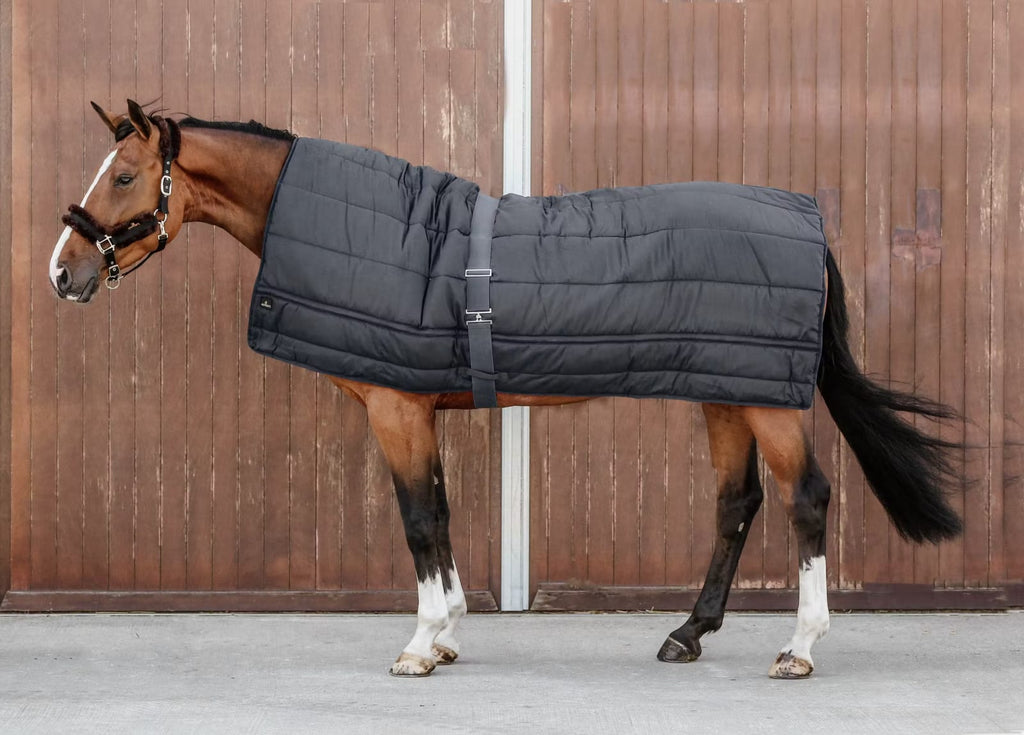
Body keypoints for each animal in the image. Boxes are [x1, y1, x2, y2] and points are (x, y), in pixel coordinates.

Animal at [49, 99, 963, 679]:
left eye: (124, 177)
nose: (64, 271)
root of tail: (805, 220)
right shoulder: (419, 406)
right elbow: (443, 513)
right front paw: (449, 631)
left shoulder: (397, 409)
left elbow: (420, 518)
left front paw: (420, 644)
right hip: (727, 390)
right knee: (737, 503)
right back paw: (687, 633)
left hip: (768, 401)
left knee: (807, 498)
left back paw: (800, 647)